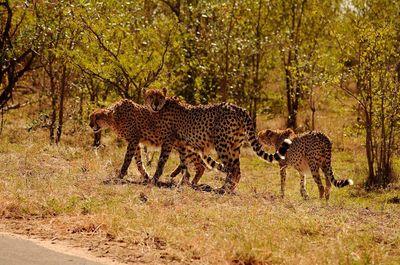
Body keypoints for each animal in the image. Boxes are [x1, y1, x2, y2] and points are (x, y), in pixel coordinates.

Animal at [89, 98, 217, 185]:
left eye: (97, 117)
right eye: (90, 117)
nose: (90, 125)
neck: (115, 118)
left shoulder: (133, 140)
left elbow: (127, 160)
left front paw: (120, 175)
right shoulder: (136, 142)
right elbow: (138, 161)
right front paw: (145, 175)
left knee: (200, 164)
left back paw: (190, 181)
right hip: (179, 144)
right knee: (198, 164)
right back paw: (187, 180)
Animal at [143, 88, 290, 192]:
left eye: (159, 97)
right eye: (151, 96)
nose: (155, 104)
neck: (161, 108)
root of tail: (238, 107)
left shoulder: (169, 141)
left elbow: (161, 162)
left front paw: (154, 179)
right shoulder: (183, 144)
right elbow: (184, 164)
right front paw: (181, 182)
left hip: (222, 144)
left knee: (231, 169)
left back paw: (223, 189)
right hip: (234, 146)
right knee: (237, 169)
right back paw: (228, 189)